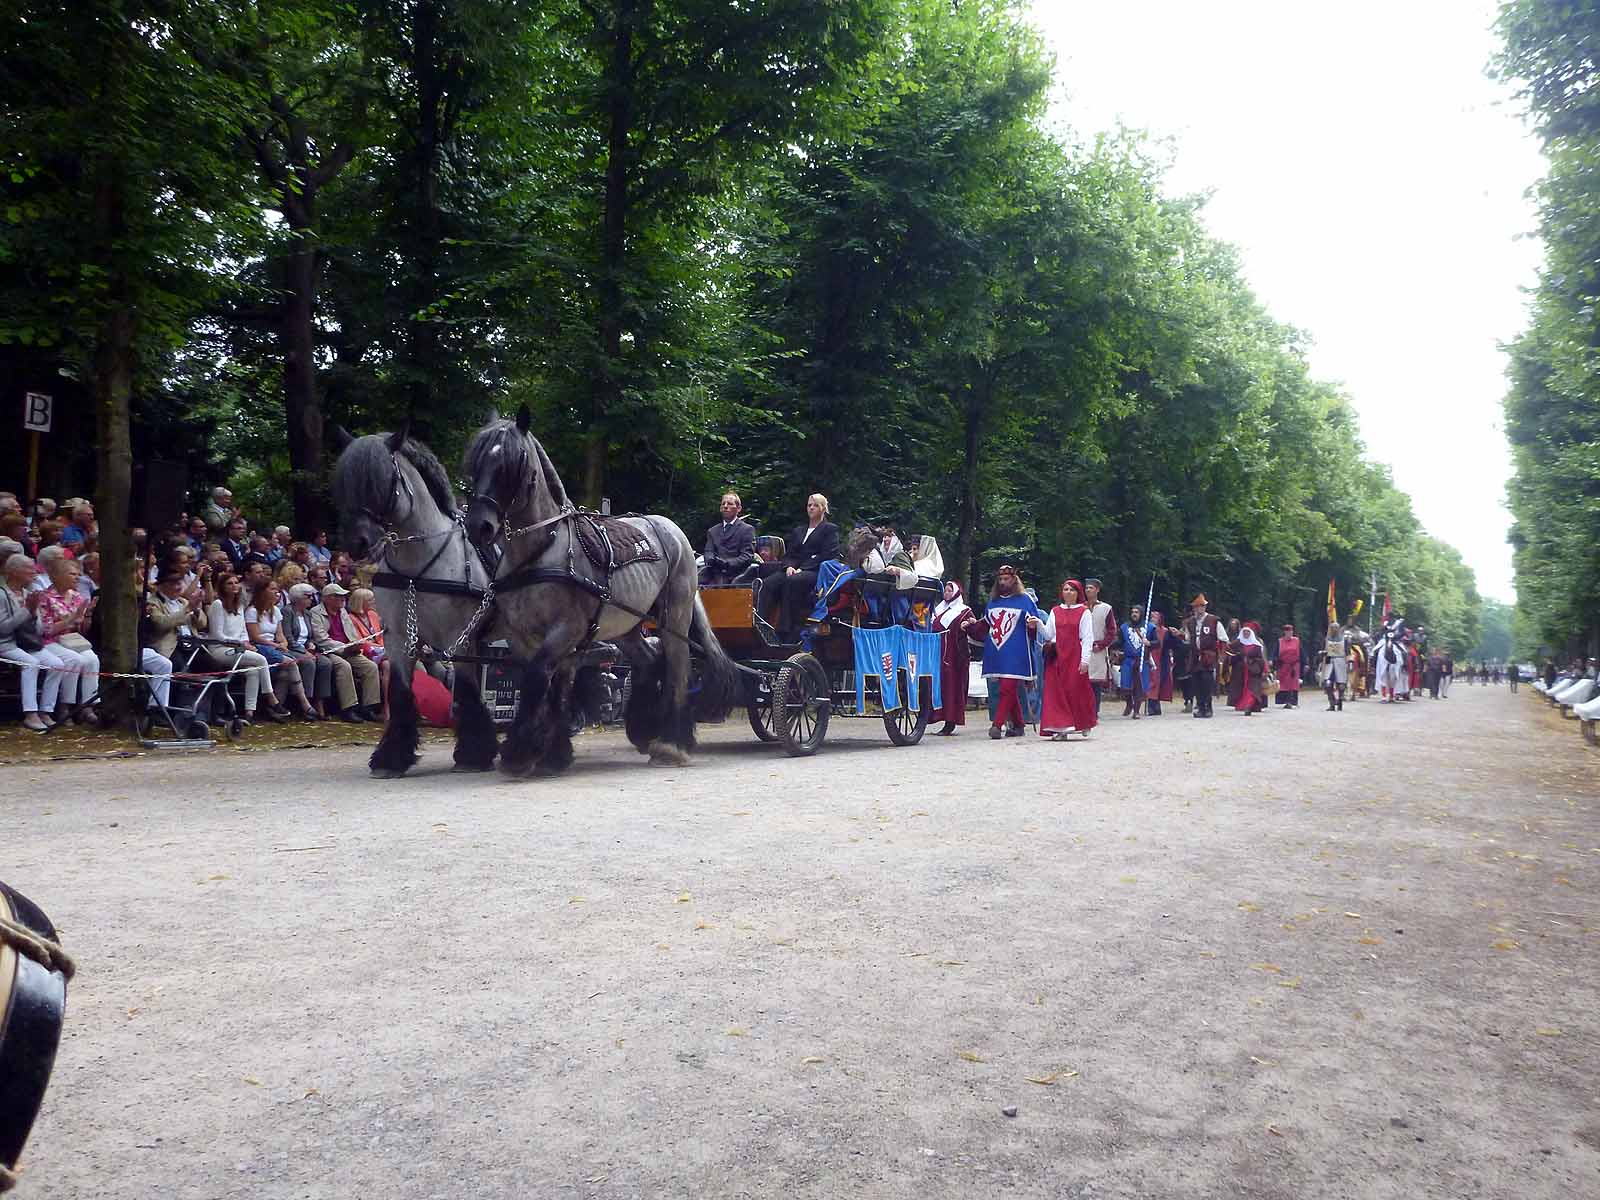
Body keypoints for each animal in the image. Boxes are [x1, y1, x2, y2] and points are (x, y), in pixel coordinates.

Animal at [326, 428, 496, 774]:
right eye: (344, 484)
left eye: (382, 481)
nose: (358, 543)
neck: (418, 569)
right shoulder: (400, 637)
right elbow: (401, 690)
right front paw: (392, 757)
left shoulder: (460, 638)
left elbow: (467, 689)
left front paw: (474, 754)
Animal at [460, 409, 739, 774]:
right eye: (475, 462)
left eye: (511, 463)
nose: (479, 526)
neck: (542, 550)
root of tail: (674, 532)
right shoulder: (523, 635)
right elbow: (545, 684)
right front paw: (552, 753)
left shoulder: (567, 629)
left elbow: (538, 678)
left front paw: (520, 753)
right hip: (627, 623)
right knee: (649, 661)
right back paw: (643, 729)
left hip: (675, 615)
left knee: (678, 668)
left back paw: (671, 743)